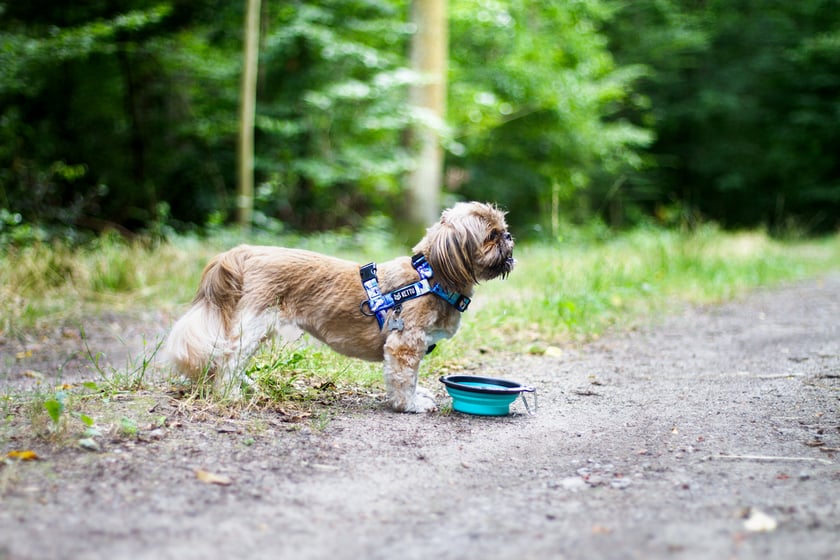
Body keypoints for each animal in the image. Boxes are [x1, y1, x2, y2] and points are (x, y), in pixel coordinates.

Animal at [163, 201, 512, 412]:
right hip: (256, 323)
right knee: (229, 358)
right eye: (491, 235)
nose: (508, 236)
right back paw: (230, 394)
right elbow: (404, 379)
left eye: (503, 229)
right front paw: (410, 404)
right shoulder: (404, 345)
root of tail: (248, 252)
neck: (430, 276)